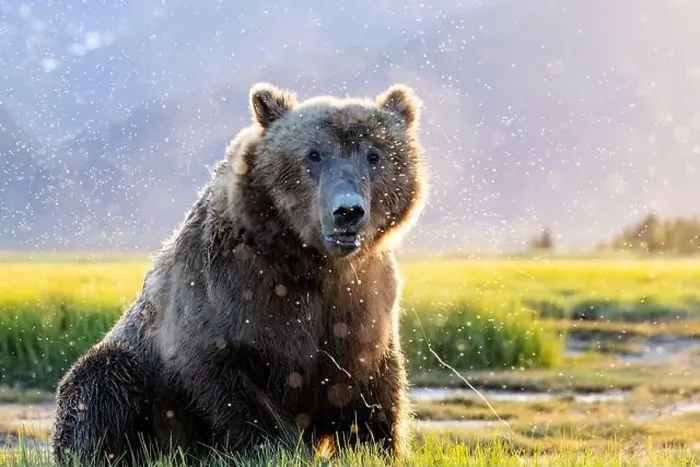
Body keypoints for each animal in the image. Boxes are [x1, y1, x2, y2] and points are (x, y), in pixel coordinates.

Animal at [50, 82, 429, 466]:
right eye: (313, 155)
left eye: (374, 155)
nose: (348, 210)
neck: (311, 262)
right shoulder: (233, 287)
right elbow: (229, 377)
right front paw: (280, 448)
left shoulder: (363, 297)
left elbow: (370, 382)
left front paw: (376, 445)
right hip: (128, 370)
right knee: (100, 383)